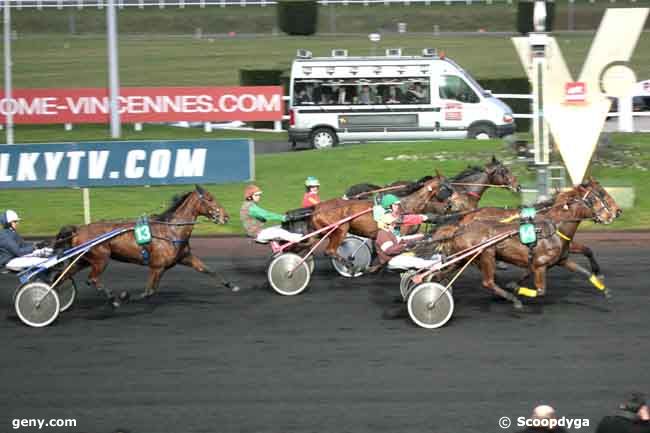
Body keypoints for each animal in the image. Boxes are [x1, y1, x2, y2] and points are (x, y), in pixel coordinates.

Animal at [54, 184, 238, 306]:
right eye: (210, 199)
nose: (226, 217)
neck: (170, 230)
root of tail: (78, 229)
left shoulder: (185, 257)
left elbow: (208, 269)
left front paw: (232, 285)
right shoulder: (157, 267)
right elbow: (149, 291)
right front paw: (125, 296)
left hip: (82, 260)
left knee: (63, 276)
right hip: (101, 259)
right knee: (92, 279)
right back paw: (113, 299)